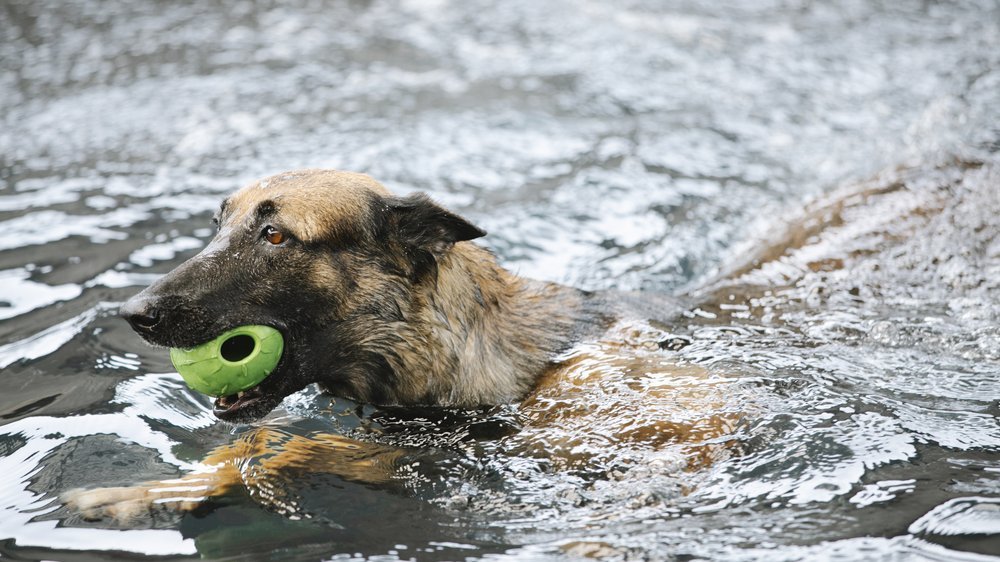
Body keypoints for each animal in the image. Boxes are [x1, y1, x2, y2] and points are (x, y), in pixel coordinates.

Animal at [64, 167, 752, 520]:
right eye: (218, 225)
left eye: (277, 235)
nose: (134, 314)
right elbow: (253, 442)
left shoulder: (415, 453)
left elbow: (275, 449)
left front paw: (151, 494)